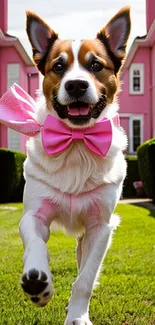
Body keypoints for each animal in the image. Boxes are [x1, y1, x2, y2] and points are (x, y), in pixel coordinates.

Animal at [3, 6, 131, 324]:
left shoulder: (101, 227)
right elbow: (36, 244)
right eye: (58, 67)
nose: (76, 85)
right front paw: (37, 282)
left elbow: (85, 278)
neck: (76, 143)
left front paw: (77, 316)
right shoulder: (33, 215)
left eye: (96, 65)